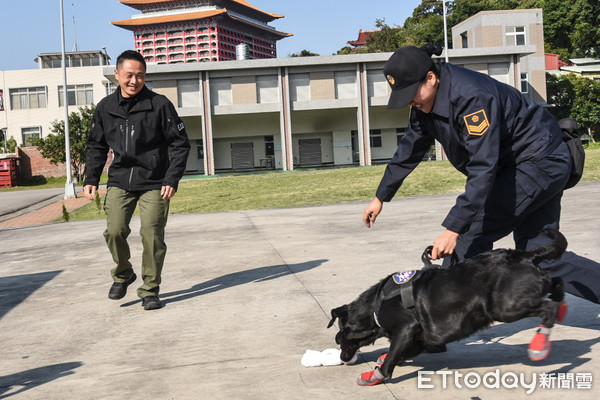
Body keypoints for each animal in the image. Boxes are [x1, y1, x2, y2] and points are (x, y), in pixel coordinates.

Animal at [328, 230, 568, 386]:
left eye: (340, 337)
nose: (341, 356)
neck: (374, 308)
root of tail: (526, 256)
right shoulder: (418, 338)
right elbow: (399, 352)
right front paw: (385, 358)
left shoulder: (407, 328)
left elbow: (390, 359)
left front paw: (375, 375)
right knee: (555, 283)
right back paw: (561, 302)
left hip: (504, 306)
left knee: (548, 309)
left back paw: (540, 344)